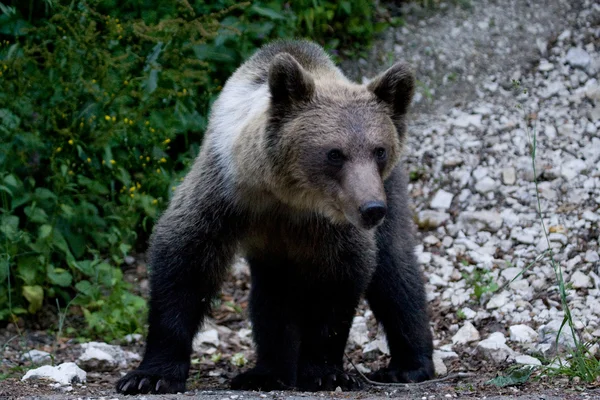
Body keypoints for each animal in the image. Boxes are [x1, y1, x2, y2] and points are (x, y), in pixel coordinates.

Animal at [116, 39, 432, 396]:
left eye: (379, 150)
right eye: (334, 153)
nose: (371, 208)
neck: (287, 197)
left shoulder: (334, 227)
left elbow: (340, 283)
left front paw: (325, 372)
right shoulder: (224, 194)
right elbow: (184, 263)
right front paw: (150, 375)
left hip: (390, 192)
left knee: (394, 269)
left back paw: (409, 366)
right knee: (272, 296)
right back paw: (267, 372)